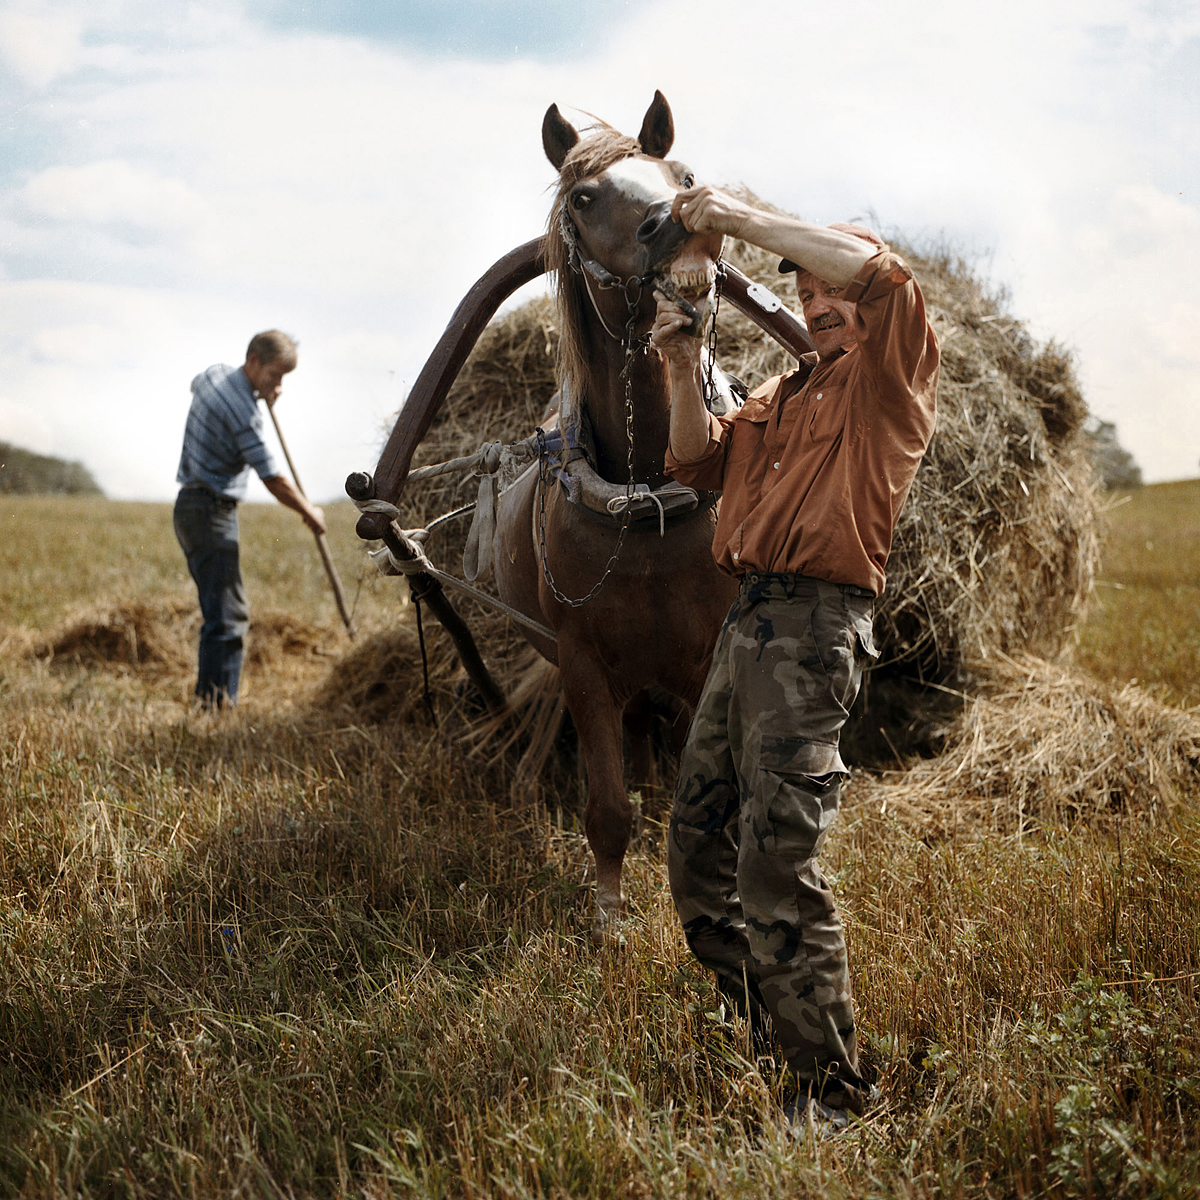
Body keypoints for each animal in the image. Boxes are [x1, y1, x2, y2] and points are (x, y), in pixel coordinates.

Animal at [492, 96, 734, 936]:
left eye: (683, 175)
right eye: (586, 197)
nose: (675, 224)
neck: (649, 498)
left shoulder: (703, 660)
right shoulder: (586, 666)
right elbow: (606, 806)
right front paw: (608, 917)